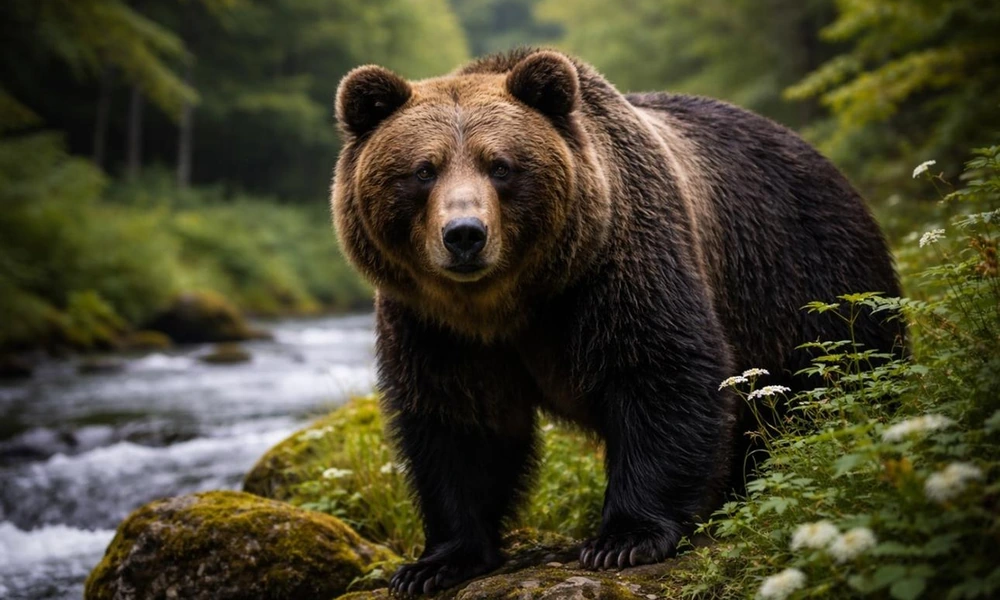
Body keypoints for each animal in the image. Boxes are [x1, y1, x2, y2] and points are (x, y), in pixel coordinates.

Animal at [331, 48, 904, 595]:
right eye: (423, 170)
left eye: (501, 166)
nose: (465, 234)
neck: (508, 302)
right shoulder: (434, 324)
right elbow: (457, 422)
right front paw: (434, 564)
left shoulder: (616, 266)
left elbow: (659, 372)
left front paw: (624, 539)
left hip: (807, 280)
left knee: (843, 375)